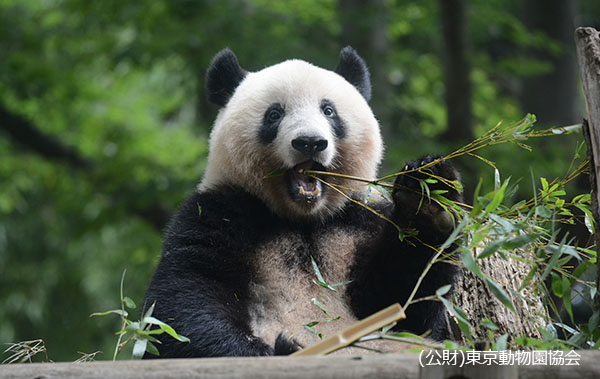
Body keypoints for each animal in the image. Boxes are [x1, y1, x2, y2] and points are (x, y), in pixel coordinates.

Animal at [143, 46, 462, 358]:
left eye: (329, 110)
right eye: (274, 114)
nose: (310, 142)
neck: (303, 218)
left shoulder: (358, 219)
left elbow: (404, 302)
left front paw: (428, 198)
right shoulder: (219, 213)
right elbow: (180, 305)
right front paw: (276, 351)